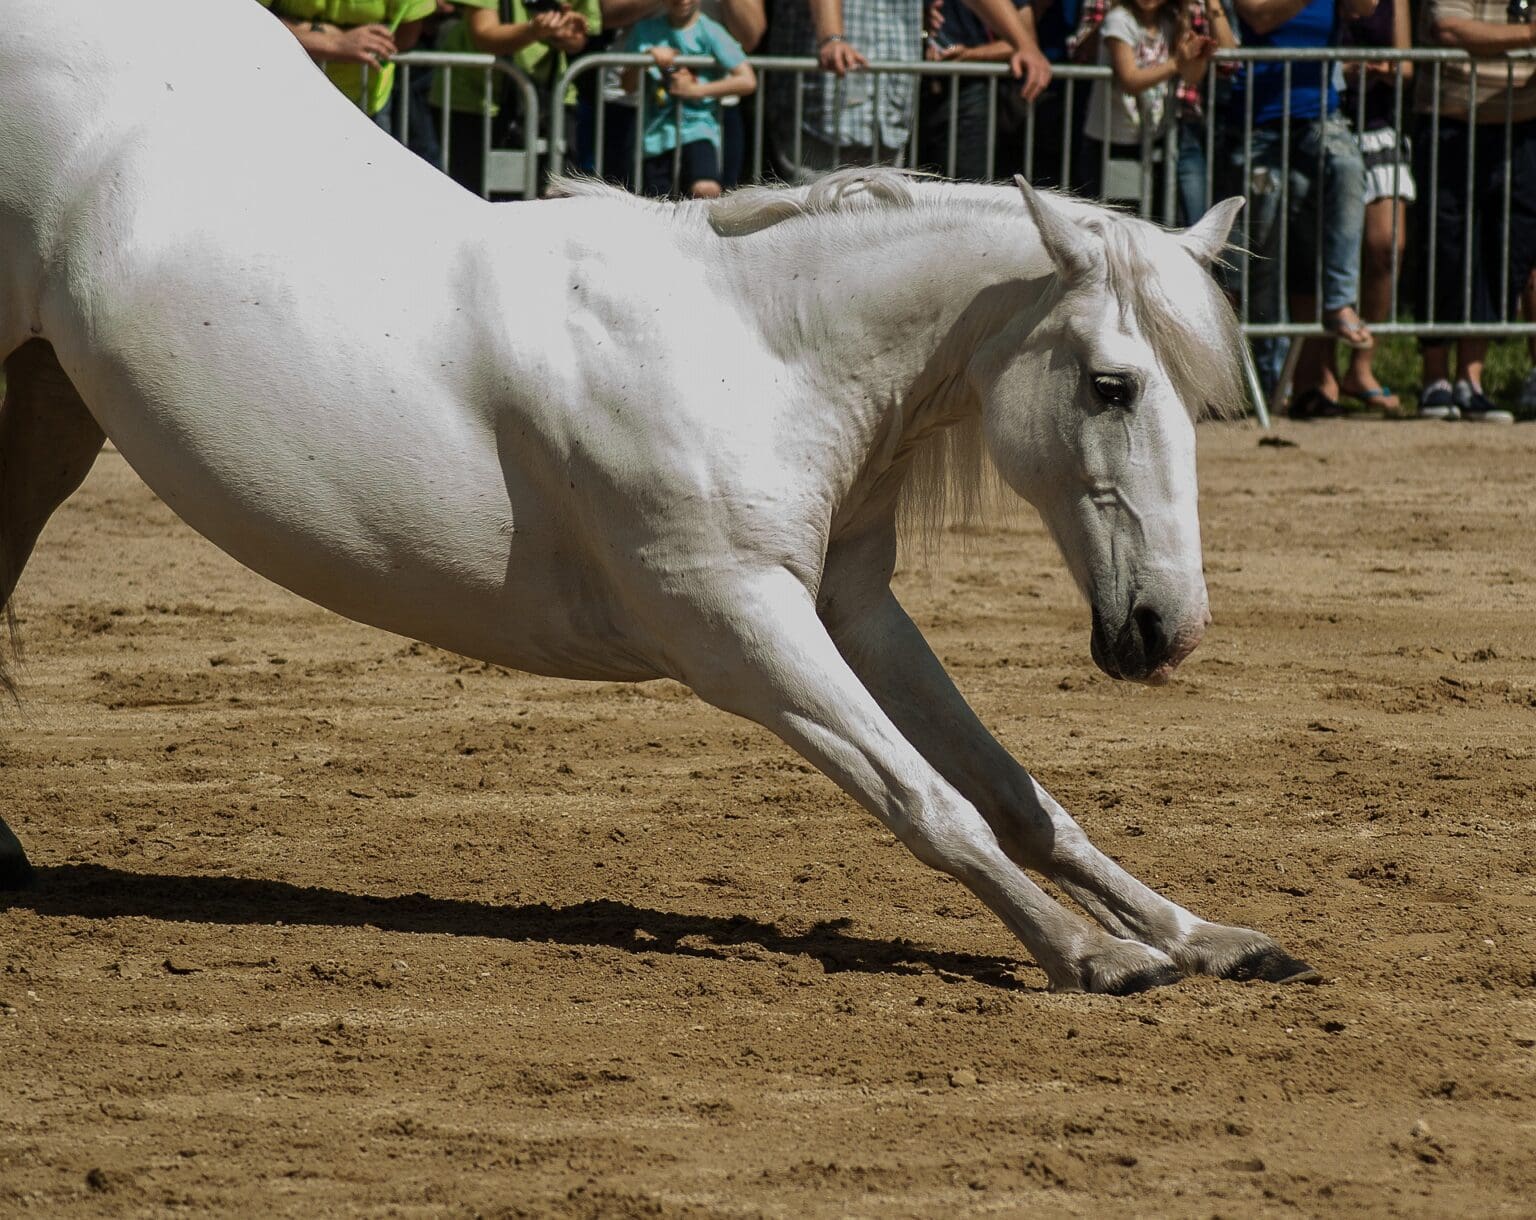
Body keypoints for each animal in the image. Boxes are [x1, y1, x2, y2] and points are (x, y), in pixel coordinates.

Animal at [0, 0, 1318, 995]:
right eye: (1112, 384)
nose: (1165, 628)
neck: (757, 349)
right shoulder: (735, 627)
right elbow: (929, 796)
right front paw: (1091, 953)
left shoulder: (847, 606)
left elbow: (1017, 794)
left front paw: (1204, 936)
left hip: (50, 409)